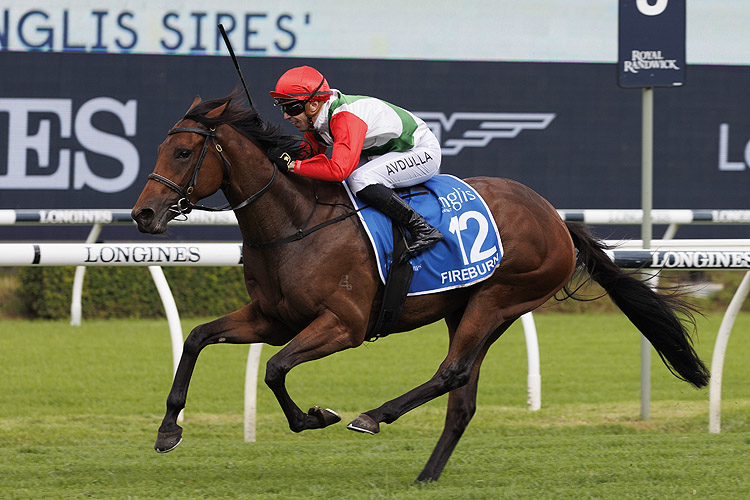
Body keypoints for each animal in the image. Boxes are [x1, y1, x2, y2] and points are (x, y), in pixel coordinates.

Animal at [132, 92, 712, 482]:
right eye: (163, 146)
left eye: (182, 153)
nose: (143, 214)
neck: (296, 223)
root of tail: (556, 220)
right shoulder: (273, 318)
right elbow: (197, 339)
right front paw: (168, 430)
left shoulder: (343, 325)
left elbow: (275, 369)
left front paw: (315, 417)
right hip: (471, 308)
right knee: (462, 395)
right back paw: (427, 474)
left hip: (499, 298)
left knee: (451, 372)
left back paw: (373, 416)